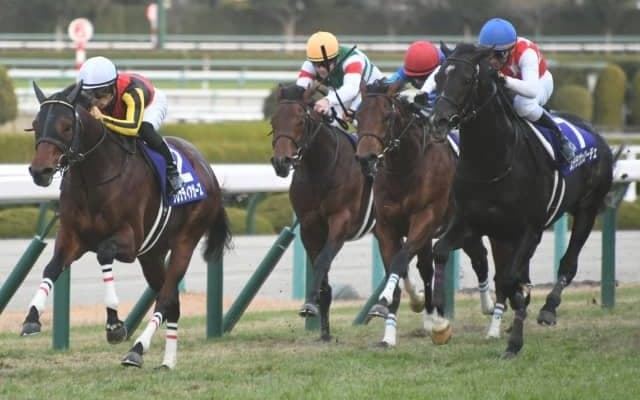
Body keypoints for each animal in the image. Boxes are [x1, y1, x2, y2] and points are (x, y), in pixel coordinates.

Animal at [23, 82, 232, 369]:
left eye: (66, 126)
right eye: (36, 123)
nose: (39, 171)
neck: (95, 178)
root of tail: (208, 170)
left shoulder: (129, 241)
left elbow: (103, 254)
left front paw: (114, 325)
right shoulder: (72, 237)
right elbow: (51, 268)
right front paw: (32, 317)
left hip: (185, 242)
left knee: (166, 298)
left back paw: (137, 349)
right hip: (152, 254)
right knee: (172, 304)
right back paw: (167, 362)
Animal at [270, 83, 425, 343]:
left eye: (300, 120)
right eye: (273, 120)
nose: (281, 162)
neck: (321, 171)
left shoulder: (340, 221)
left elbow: (323, 260)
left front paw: (309, 306)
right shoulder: (309, 226)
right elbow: (322, 273)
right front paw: (324, 331)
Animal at [354, 79, 496, 346]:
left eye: (387, 116)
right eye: (358, 116)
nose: (366, 158)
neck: (406, 168)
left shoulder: (425, 218)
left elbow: (400, 261)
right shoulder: (387, 227)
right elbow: (399, 267)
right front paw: (389, 334)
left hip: (465, 228)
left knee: (480, 258)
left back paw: (488, 306)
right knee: (431, 265)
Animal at [430, 43, 618, 358]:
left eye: (466, 80)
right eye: (439, 77)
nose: (438, 122)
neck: (492, 162)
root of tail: (595, 133)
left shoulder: (529, 229)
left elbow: (509, 279)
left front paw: (514, 343)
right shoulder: (469, 223)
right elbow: (440, 252)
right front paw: (440, 322)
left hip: (587, 208)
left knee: (568, 263)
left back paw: (548, 308)